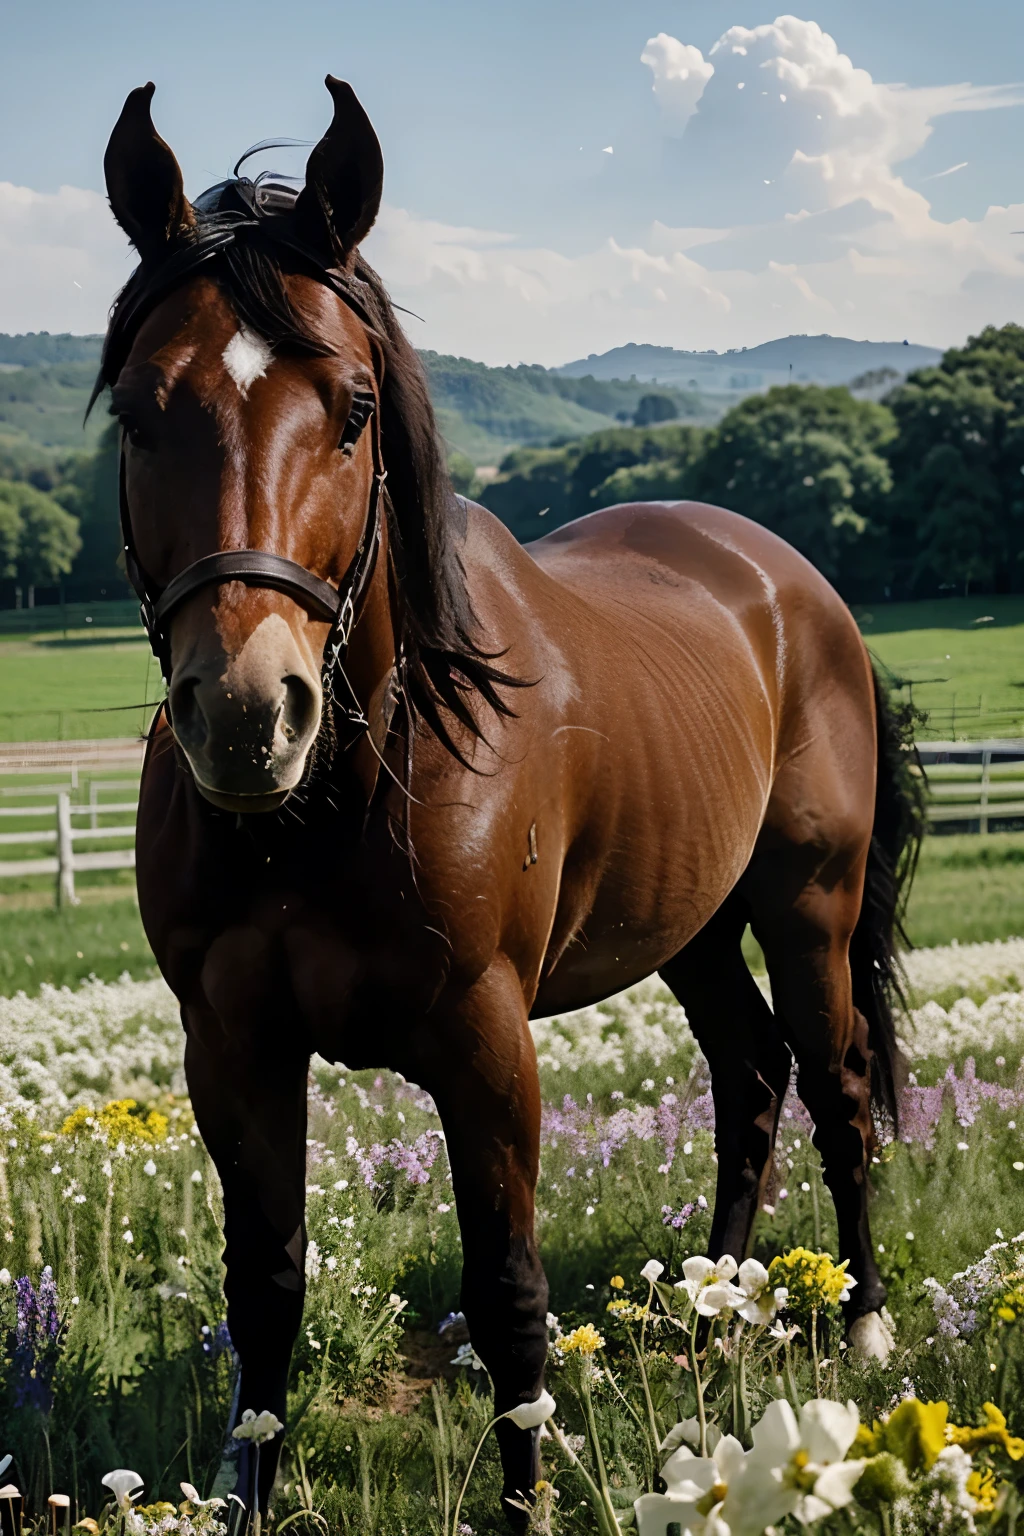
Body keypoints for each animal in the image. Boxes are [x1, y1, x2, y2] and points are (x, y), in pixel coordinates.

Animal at [98, 77, 923, 1530]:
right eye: (141, 411)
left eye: (353, 406)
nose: (249, 714)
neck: (334, 806)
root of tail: (797, 584)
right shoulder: (230, 1046)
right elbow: (265, 1289)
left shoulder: (485, 1041)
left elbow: (509, 1291)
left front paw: (528, 1499)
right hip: (692, 924)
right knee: (750, 1077)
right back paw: (710, 1313)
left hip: (808, 907)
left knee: (832, 1082)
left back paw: (866, 1320)